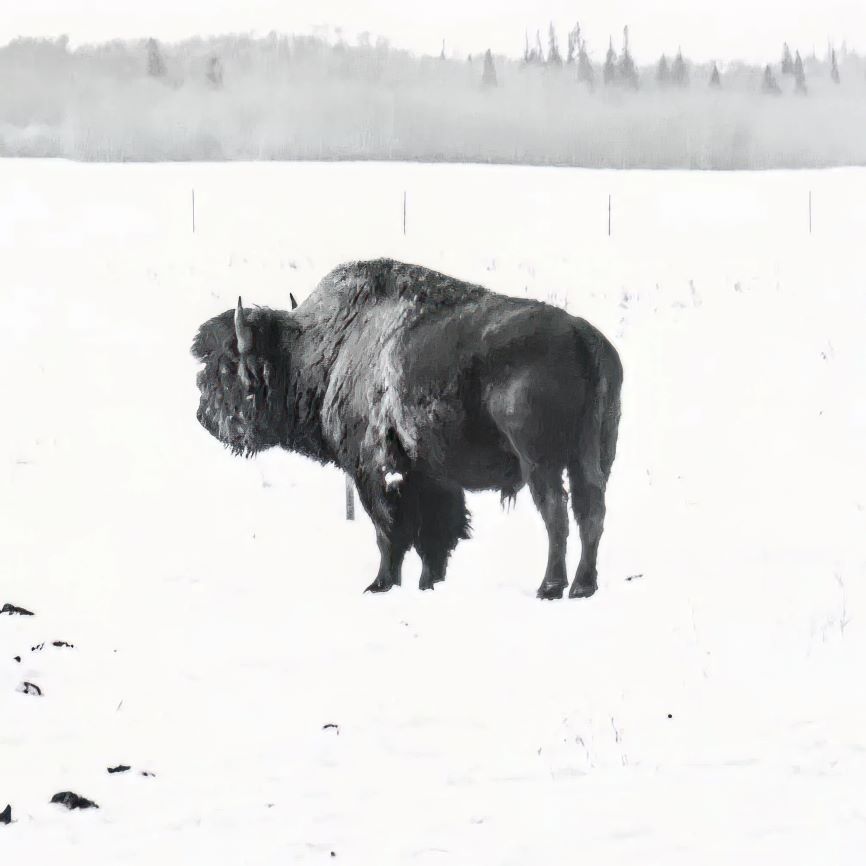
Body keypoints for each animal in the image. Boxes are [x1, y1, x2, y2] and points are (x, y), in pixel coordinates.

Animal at [191, 256, 620, 596]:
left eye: (227, 368)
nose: (203, 416)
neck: (328, 350)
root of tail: (583, 335)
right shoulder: (430, 476)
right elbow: (436, 535)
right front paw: (429, 583)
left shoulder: (373, 470)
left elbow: (390, 531)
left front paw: (380, 584)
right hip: (591, 457)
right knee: (591, 512)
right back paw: (583, 586)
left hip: (540, 463)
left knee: (556, 514)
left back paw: (550, 587)